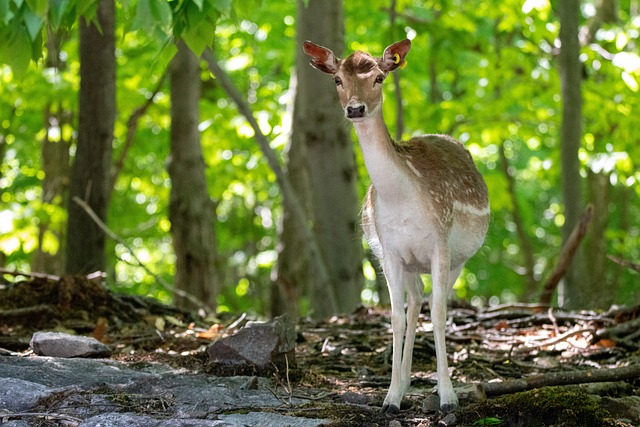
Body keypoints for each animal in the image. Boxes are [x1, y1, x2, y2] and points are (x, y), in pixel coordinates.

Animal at [304, 40, 490, 414]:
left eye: (378, 77)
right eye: (337, 79)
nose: (355, 109)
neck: (403, 199)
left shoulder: (440, 244)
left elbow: (439, 312)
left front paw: (448, 398)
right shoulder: (389, 252)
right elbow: (395, 317)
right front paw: (390, 398)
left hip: (459, 259)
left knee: (432, 301)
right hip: (409, 263)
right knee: (415, 299)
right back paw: (403, 386)